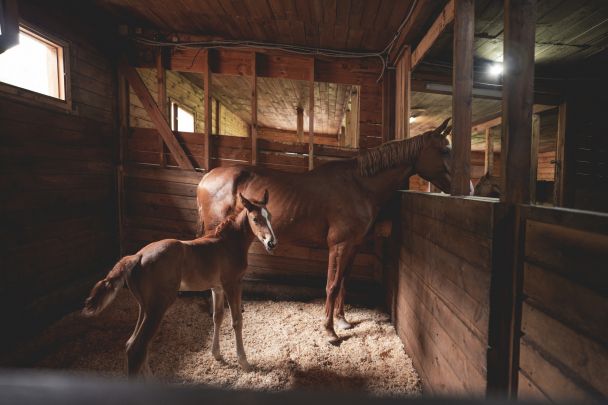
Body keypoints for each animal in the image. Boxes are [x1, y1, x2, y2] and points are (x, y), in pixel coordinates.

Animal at [82, 191, 276, 374]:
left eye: (270, 217)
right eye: (255, 219)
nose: (271, 243)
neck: (228, 244)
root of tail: (137, 256)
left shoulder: (217, 288)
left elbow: (217, 317)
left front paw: (217, 354)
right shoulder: (232, 284)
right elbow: (236, 321)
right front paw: (244, 362)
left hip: (144, 307)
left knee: (132, 345)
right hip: (158, 306)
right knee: (137, 348)